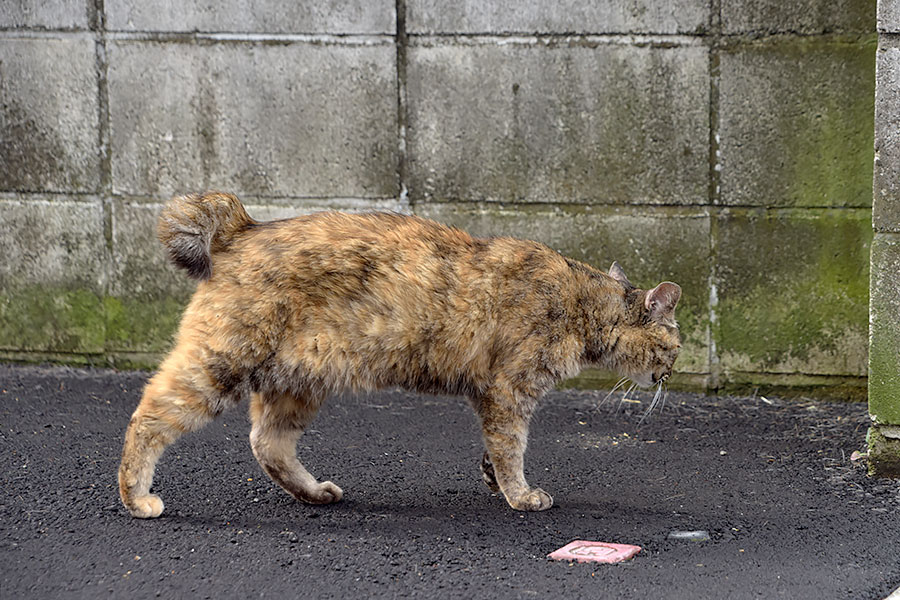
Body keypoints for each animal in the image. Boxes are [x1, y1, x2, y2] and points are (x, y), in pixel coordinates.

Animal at [119, 191, 684, 516]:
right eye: (674, 349)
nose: (670, 378)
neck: (579, 301)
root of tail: (244, 226)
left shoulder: (493, 397)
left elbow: (497, 449)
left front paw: (493, 479)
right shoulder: (510, 391)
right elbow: (512, 448)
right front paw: (521, 495)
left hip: (297, 382)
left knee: (268, 443)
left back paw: (315, 493)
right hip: (220, 365)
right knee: (148, 417)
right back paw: (136, 497)